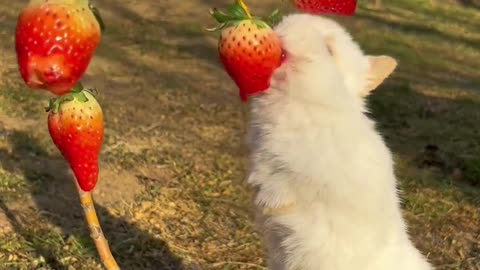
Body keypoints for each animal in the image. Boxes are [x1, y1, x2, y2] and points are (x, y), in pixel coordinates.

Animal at [246, 14, 434, 270]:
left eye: (329, 49)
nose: (280, 34)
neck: (313, 106)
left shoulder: (316, 178)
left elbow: (289, 186)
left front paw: (270, 203)